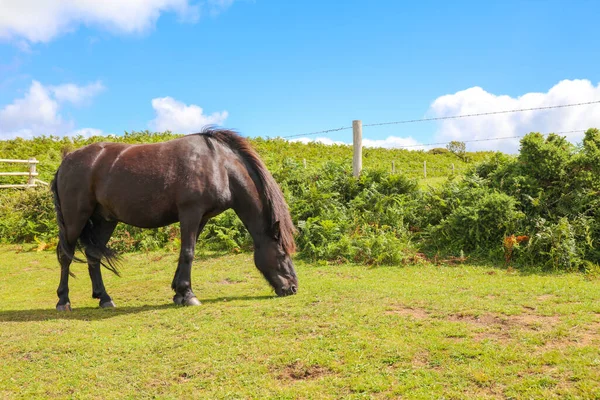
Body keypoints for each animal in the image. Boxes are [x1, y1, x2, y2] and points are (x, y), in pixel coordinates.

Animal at [51, 127, 298, 310]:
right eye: (282, 253)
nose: (293, 288)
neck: (220, 165)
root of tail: (67, 160)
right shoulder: (190, 212)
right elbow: (188, 252)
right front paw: (188, 295)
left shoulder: (202, 217)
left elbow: (186, 252)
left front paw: (178, 293)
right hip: (75, 219)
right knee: (66, 255)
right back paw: (63, 300)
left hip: (105, 220)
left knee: (93, 255)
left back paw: (104, 298)